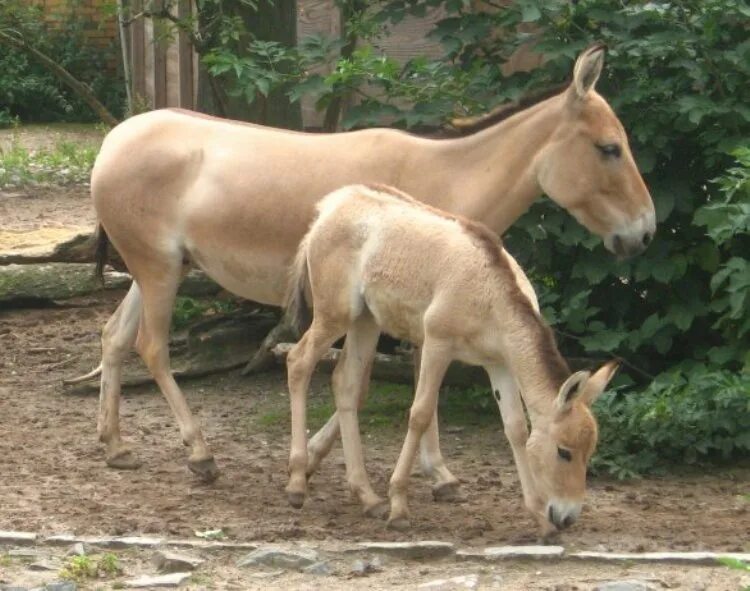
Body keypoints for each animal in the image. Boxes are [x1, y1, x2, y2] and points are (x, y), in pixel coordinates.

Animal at [284, 185, 620, 536]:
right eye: (564, 452)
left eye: (590, 451)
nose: (567, 518)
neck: (491, 295)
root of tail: (333, 203)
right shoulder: (437, 344)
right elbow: (420, 413)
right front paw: (399, 506)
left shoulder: (499, 364)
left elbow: (515, 428)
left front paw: (539, 519)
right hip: (335, 314)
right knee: (298, 361)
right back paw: (297, 484)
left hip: (366, 320)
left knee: (346, 384)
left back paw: (367, 497)